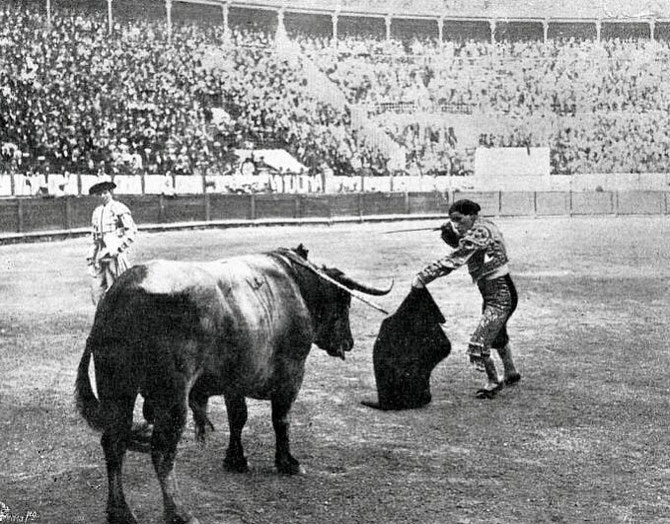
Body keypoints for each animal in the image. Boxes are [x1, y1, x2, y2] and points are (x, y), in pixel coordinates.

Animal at [74, 245, 392, 524]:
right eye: (344, 300)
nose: (348, 343)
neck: (295, 284)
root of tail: (120, 295)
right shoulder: (292, 373)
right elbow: (281, 419)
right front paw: (288, 462)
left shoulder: (234, 381)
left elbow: (238, 418)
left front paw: (236, 460)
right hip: (171, 396)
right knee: (162, 451)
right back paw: (179, 513)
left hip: (117, 387)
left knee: (114, 442)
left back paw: (120, 513)